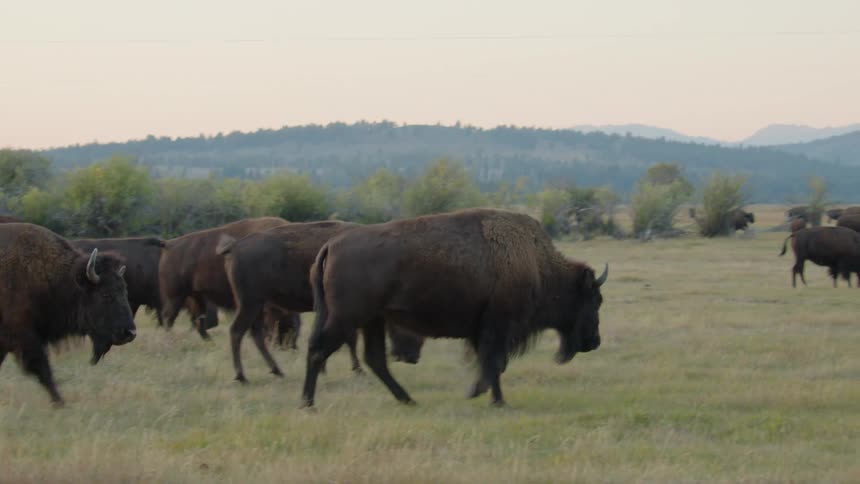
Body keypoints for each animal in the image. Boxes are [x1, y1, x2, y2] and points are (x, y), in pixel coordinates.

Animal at [0, 223, 136, 405]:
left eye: (124, 290)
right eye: (106, 294)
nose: (130, 333)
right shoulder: (25, 337)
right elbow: (43, 369)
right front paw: (60, 403)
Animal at [217, 220, 425, 383]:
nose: (412, 357)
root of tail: (236, 246)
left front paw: (325, 369)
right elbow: (350, 339)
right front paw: (357, 370)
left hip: (257, 305)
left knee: (255, 334)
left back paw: (277, 371)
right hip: (250, 303)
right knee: (237, 331)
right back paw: (242, 376)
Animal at [301, 209, 608, 408]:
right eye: (594, 299)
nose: (594, 341)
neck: (536, 263)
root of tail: (331, 246)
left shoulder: (484, 330)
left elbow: (489, 363)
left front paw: (477, 392)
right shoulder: (498, 327)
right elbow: (494, 362)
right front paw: (496, 400)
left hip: (372, 320)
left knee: (375, 359)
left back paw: (408, 400)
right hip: (347, 318)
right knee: (318, 350)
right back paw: (307, 402)